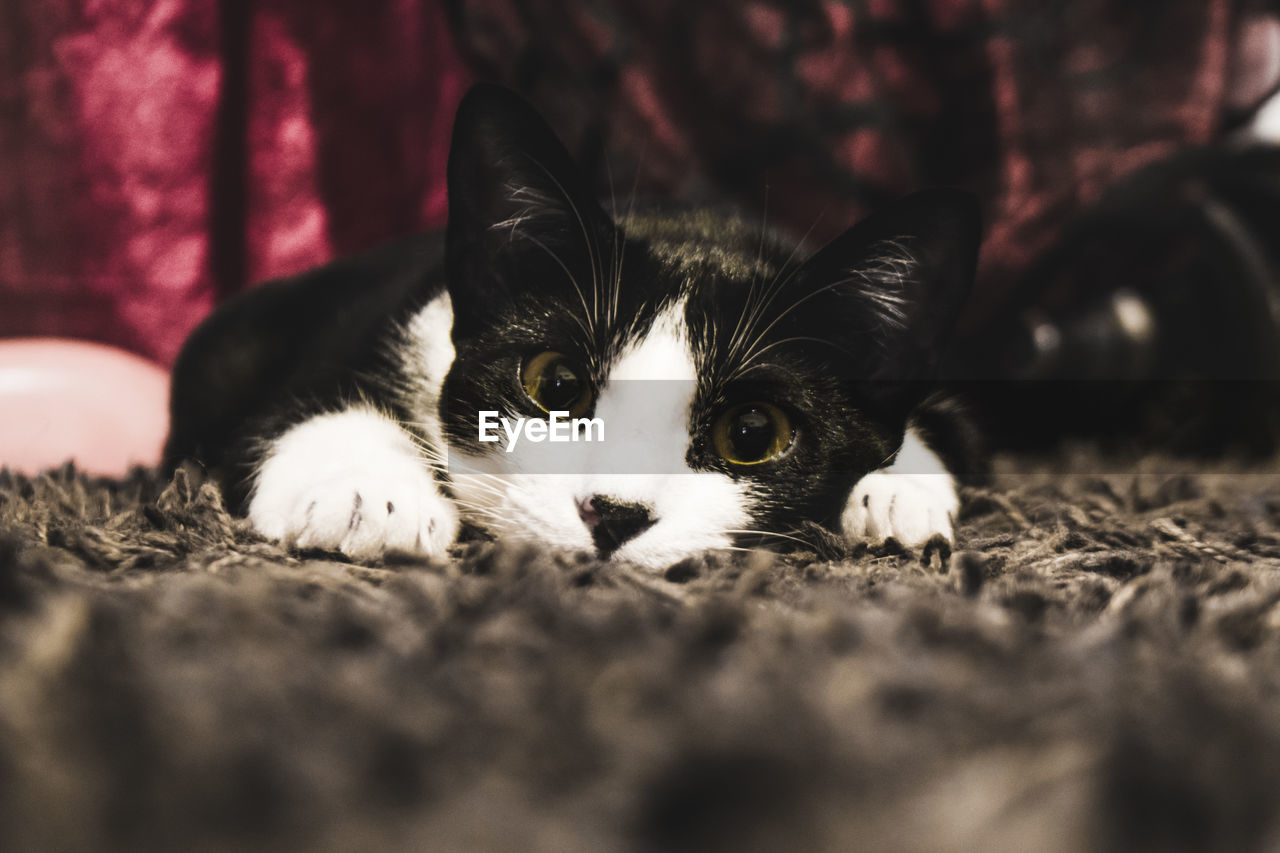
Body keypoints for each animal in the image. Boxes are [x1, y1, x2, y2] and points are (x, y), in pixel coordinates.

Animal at [162, 83, 977, 568]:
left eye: (752, 432)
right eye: (554, 385)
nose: (612, 515)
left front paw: (898, 489)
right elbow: (303, 398)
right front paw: (366, 493)